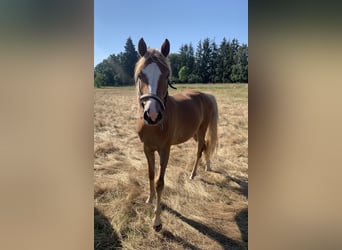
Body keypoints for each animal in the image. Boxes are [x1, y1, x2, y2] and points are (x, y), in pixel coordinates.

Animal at [135, 38, 218, 231]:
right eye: (141, 74)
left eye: (166, 75)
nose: (152, 115)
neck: (153, 126)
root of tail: (205, 95)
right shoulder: (147, 149)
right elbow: (150, 174)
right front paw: (149, 199)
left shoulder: (165, 150)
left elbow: (159, 182)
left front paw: (157, 221)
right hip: (193, 132)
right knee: (206, 146)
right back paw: (207, 166)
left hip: (201, 130)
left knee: (200, 149)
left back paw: (193, 174)